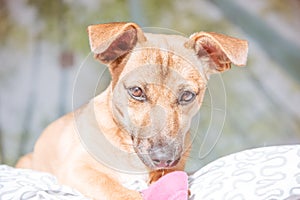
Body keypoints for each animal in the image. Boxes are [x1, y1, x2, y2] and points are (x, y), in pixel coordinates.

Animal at [15, 22, 247, 199]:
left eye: (187, 95)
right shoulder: (78, 169)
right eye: (136, 91)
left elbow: (168, 174)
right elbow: (118, 190)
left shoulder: (174, 165)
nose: (163, 157)